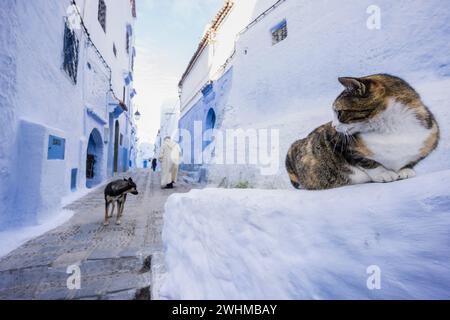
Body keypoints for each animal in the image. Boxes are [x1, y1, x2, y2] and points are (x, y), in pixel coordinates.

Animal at [288, 74, 440, 190]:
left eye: (339, 112)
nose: (333, 125)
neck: (392, 129)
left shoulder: (431, 136)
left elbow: (412, 159)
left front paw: (405, 170)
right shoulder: (338, 143)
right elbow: (364, 161)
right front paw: (384, 173)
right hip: (291, 152)